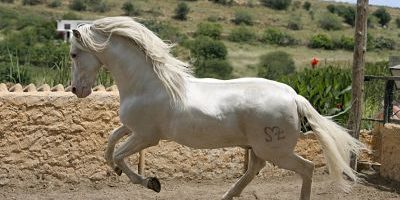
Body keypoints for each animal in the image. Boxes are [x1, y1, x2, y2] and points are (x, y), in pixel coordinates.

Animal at [69, 16, 366, 200]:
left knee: (307, 168)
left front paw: (152, 183)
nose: (76, 90)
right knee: (254, 169)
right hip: (260, 148)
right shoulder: (133, 128)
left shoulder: (147, 137)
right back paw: (226, 195)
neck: (147, 83)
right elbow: (110, 144)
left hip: (276, 150)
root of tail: (294, 96)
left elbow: (119, 154)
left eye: (73, 54)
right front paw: (119, 171)